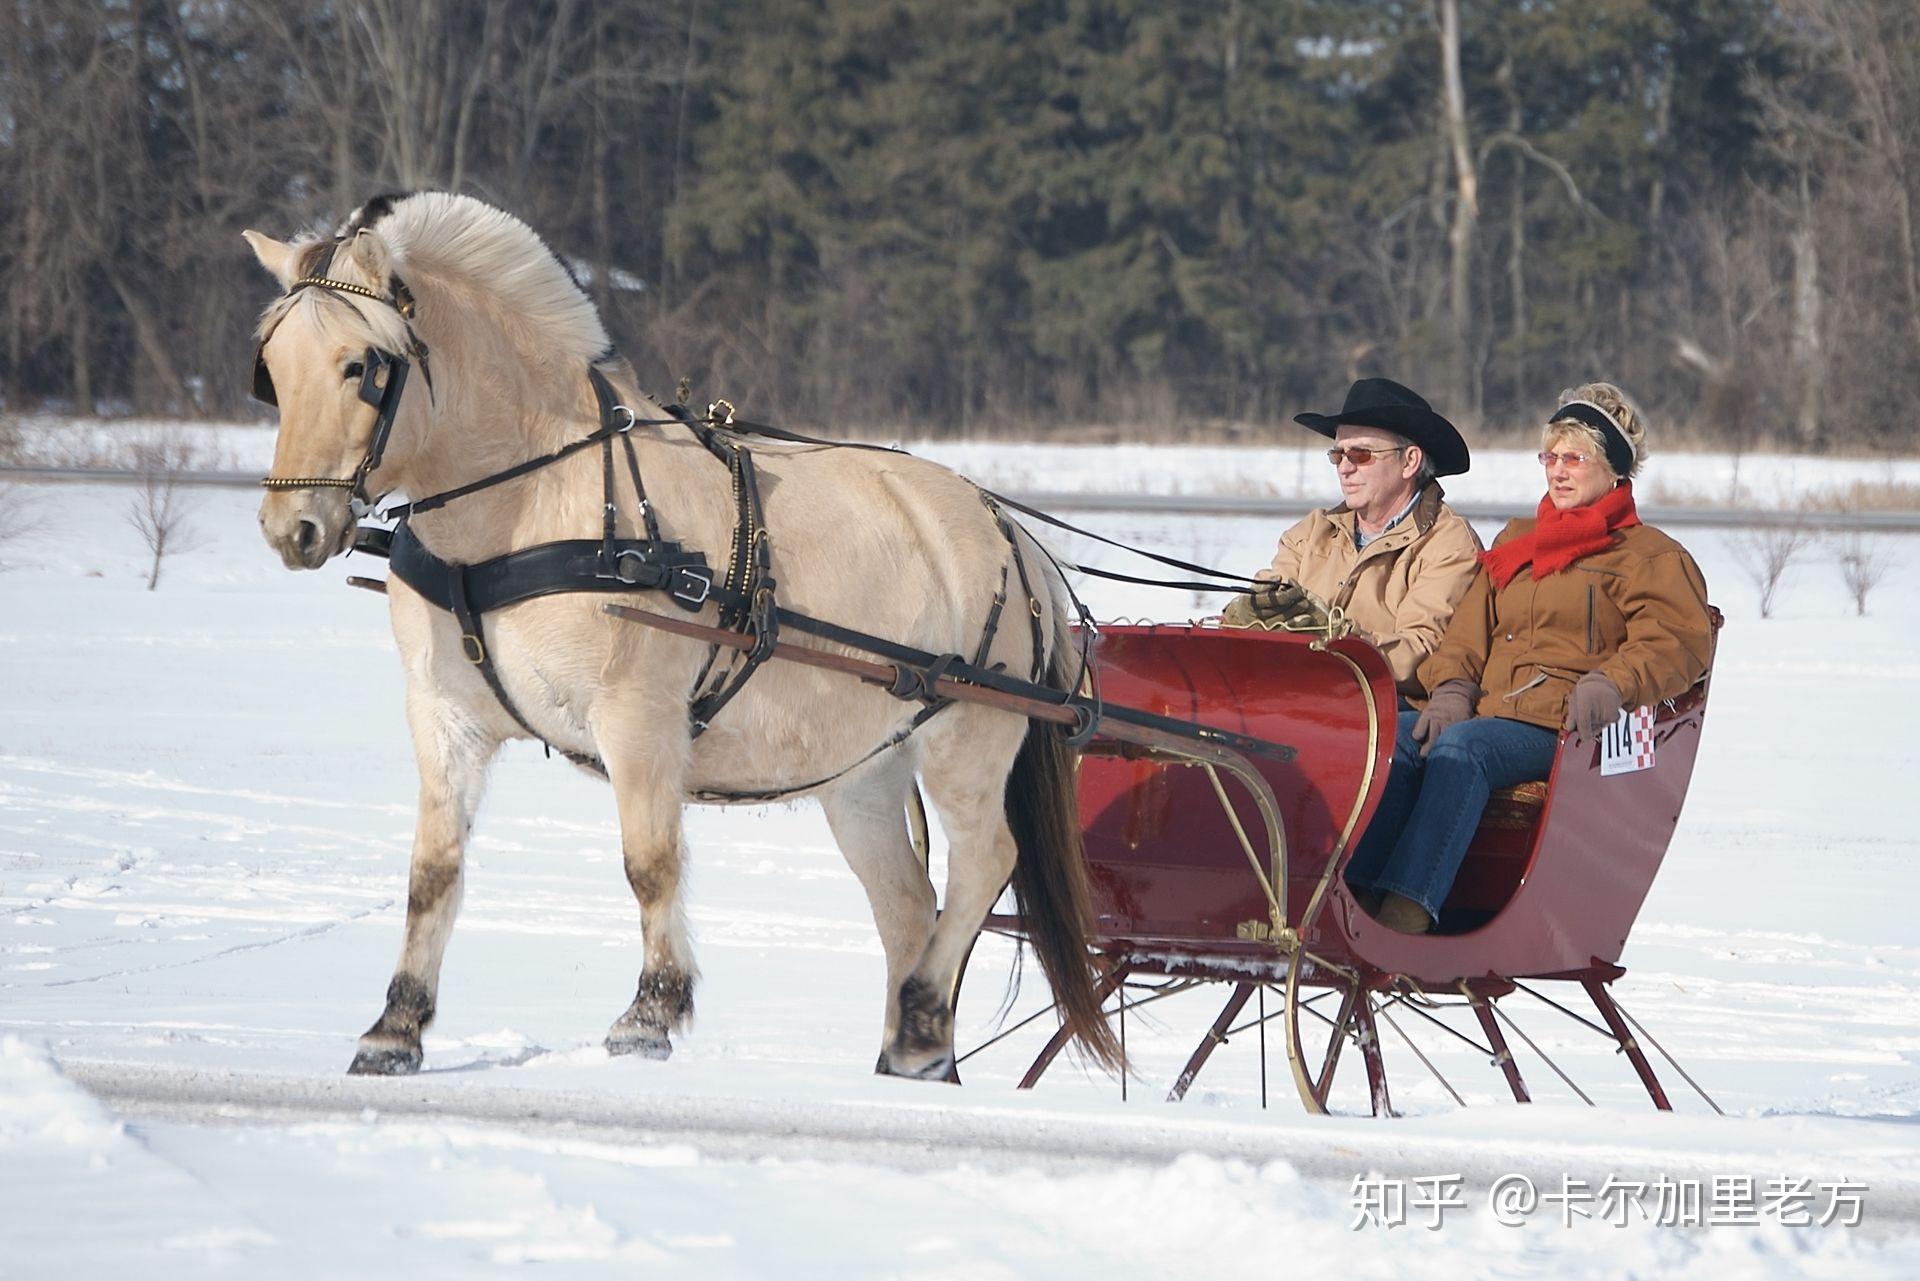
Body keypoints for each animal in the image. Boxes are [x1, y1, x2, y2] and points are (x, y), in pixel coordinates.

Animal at [249, 193, 1121, 1083]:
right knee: (909, 903)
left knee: (984, 861)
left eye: (362, 366)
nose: (293, 528)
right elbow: (432, 871)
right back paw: (915, 1049)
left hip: (968, 737)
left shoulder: (638, 715)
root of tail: (1007, 529)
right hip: (865, 770)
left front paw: (648, 1014)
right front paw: (394, 1029)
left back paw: (917, 1022)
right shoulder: (444, 715)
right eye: (271, 367)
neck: (530, 499)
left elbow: (650, 862)